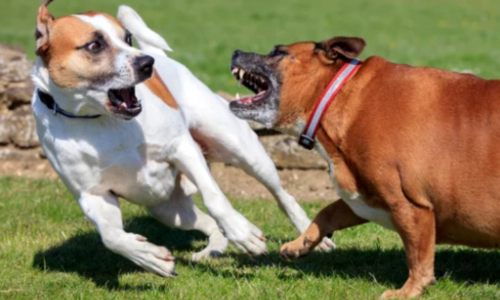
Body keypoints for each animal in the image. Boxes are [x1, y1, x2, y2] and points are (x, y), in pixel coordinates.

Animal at [32, 0, 332, 276]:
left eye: (127, 38)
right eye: (94, 45)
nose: (146, 63)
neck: (99, 120)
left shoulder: (182, 148)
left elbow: (215, 198)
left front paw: (243, 232)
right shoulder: (92, 195)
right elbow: (111, 236)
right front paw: (148, 256)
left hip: (245, 152)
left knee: (282, 195)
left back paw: (310, 235)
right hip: (167, 209)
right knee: (205, 223)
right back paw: (213, 249)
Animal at [229, 37, 500, 298]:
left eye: (278, 52)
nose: (235, 51)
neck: (338, 95)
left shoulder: (410, 206)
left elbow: (417, 257)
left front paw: (409, 290)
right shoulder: (363, 197)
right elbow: (327, 212)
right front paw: (301, 243)